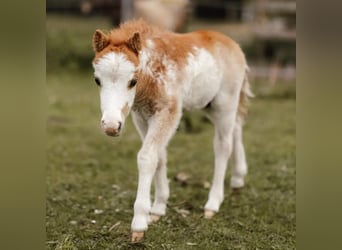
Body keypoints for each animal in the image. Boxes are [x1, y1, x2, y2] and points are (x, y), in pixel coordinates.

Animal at [92, 19, 252, 242]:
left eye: (133, 81)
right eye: (97, 80)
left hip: (225, 103)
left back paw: (212, 204)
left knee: (223, 146)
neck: (154, 71)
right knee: (236, 128)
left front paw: (139, 224)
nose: (111, 126)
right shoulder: (141, 116)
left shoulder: (169, 113)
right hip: (210, 105)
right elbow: (160, 157)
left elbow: (147, 157)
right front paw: (158, 209)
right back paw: (238, 179)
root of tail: (233, 44)